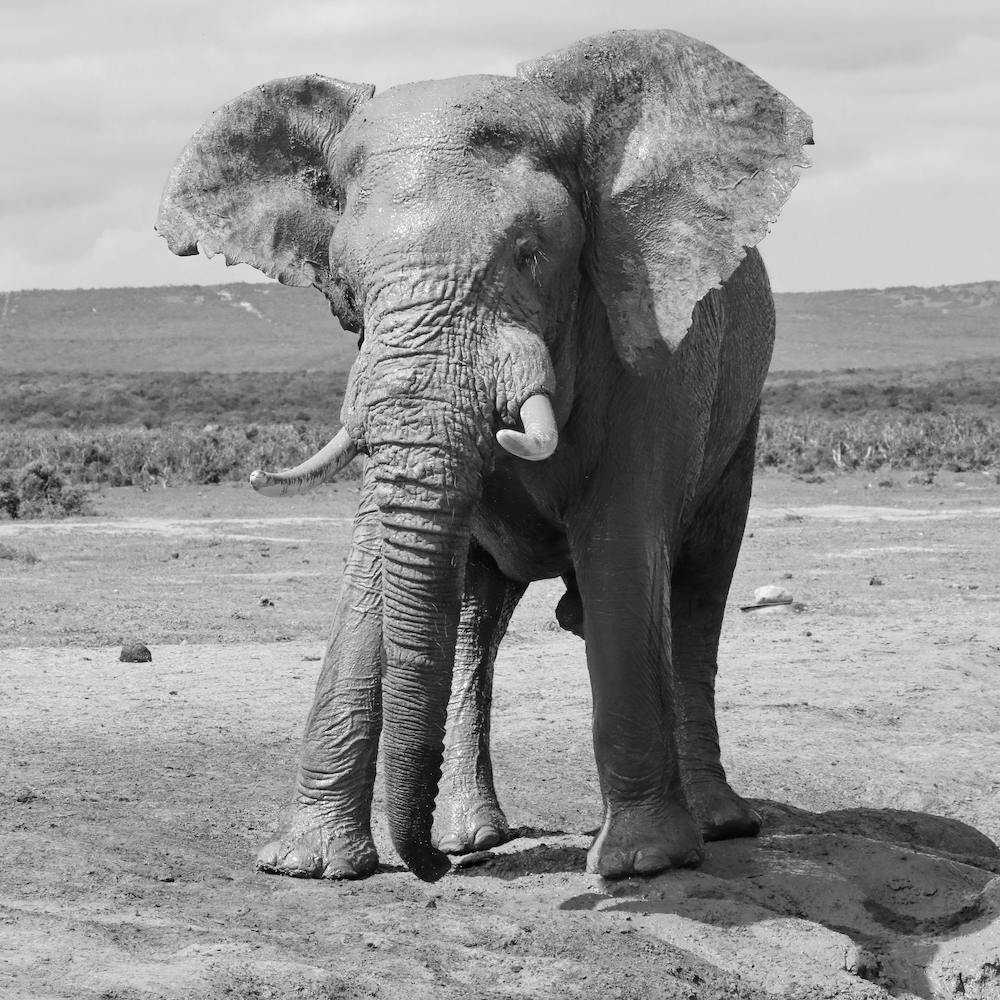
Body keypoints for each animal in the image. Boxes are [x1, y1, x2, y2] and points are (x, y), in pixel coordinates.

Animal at [156, 29, 812, 883]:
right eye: (348, 282)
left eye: (529, 254)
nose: (430, 867)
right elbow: (376, 559)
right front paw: (307, 864)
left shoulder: (649, 347)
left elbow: (622, 546)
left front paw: (639, 863)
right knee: (476, 621)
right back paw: (476, 834)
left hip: (742, 408)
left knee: (696, 593)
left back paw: (716, 825)